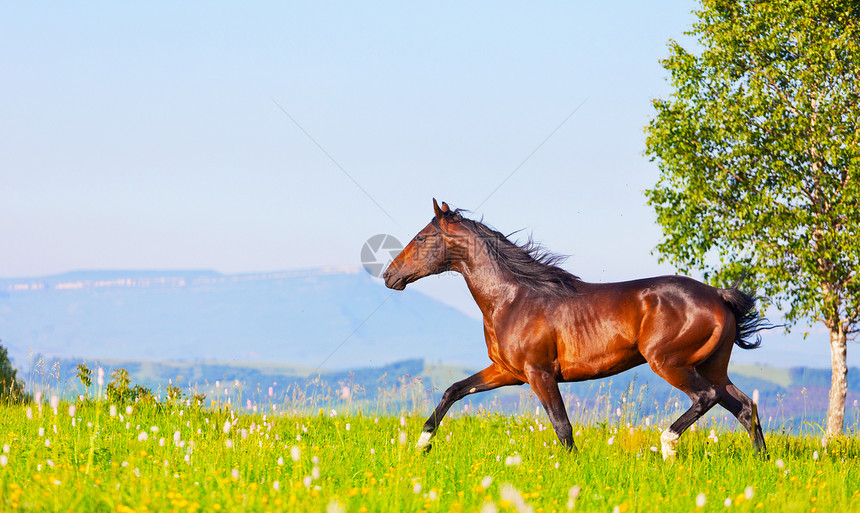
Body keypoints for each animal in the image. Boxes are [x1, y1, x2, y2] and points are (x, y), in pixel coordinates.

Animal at [386, 199, 768, 456]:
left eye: (421, 238)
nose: (390, 275)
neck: (512, 298)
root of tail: (719, 296)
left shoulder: (539, 373)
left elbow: (562, 425)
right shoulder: (507, 371)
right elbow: (453, 390)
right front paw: (422, 444)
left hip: (670, 364)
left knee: (707, 398)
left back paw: (668, 446)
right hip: (711, 367)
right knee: (744, 407)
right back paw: (761, 463)